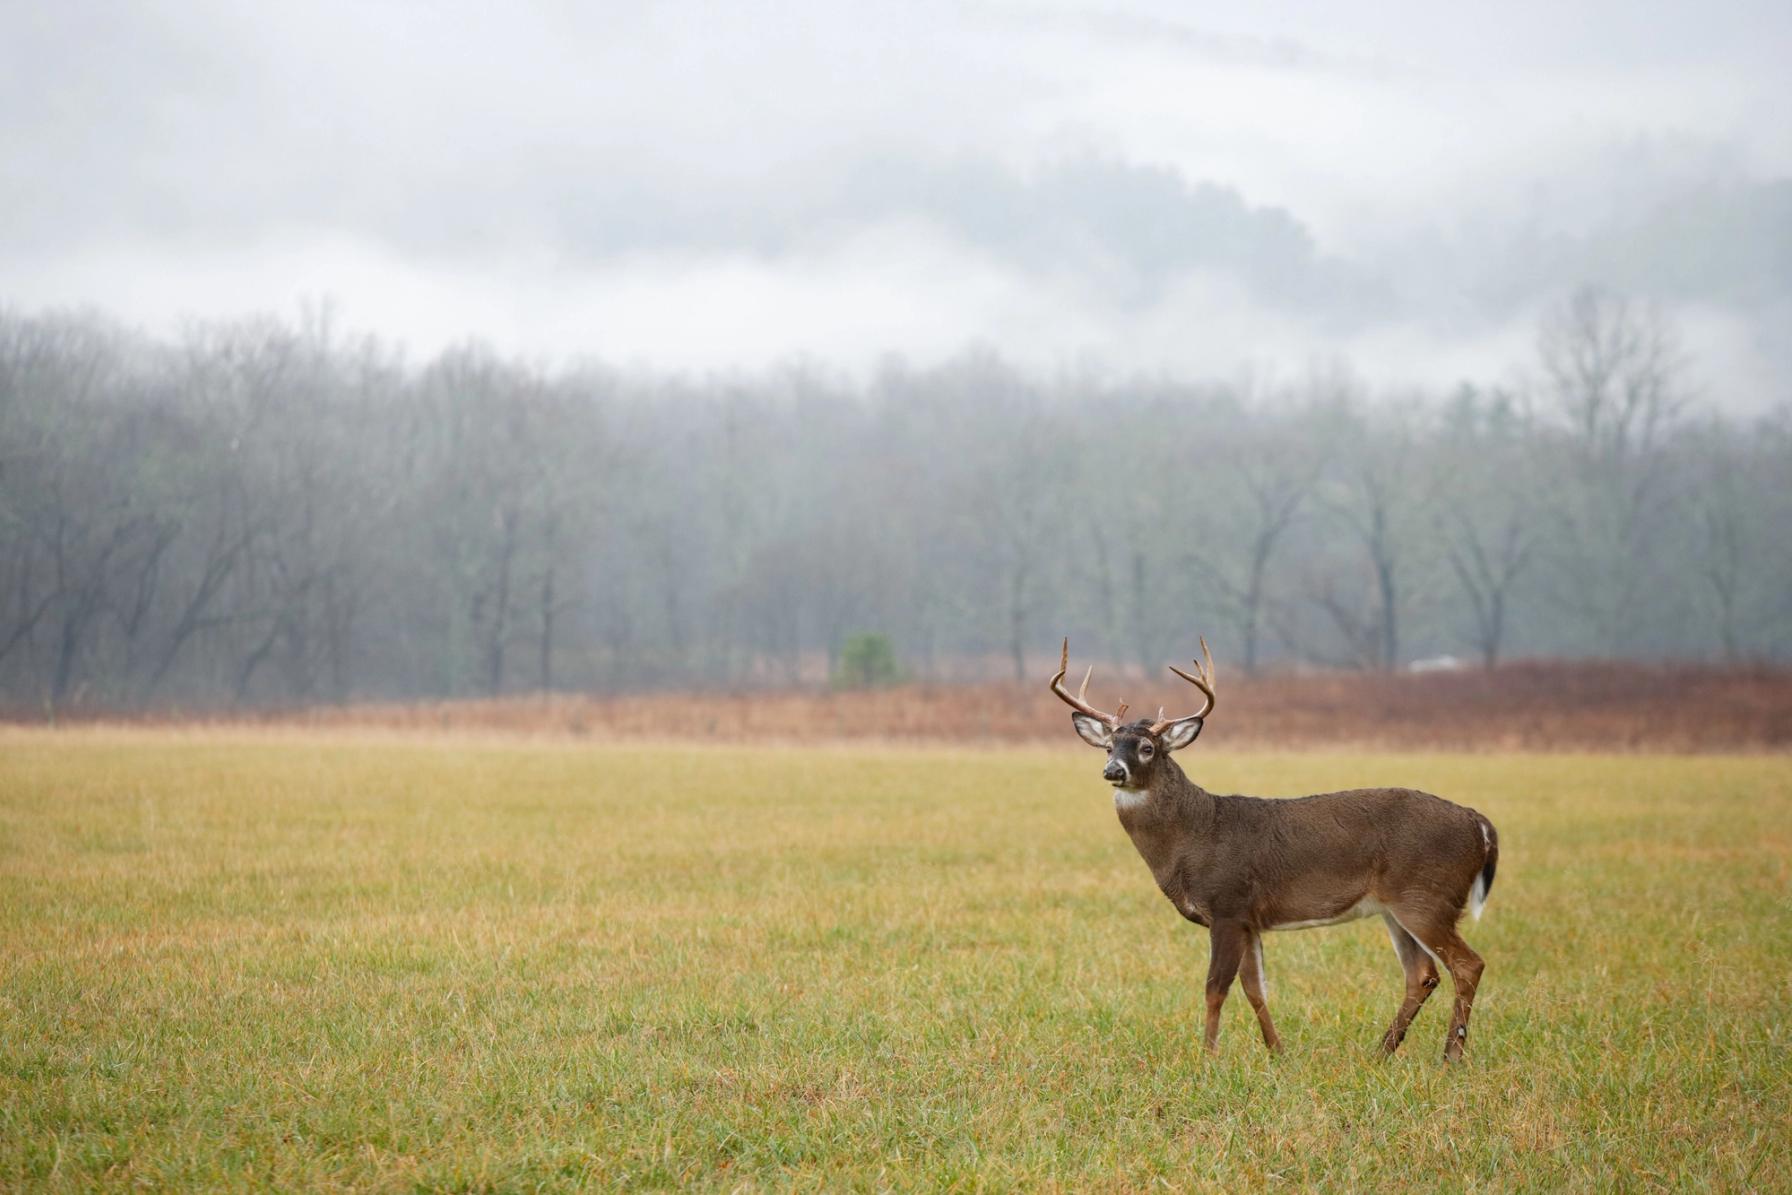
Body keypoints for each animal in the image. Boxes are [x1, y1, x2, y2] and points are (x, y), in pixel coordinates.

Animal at [1051, 638, 1498, 1062]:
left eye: (1146, 749)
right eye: (1108, 747)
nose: (1113, 770)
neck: (1194, 836)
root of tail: (1478, 823)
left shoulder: (1228, 905)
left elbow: (1215, 987)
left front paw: (1207, 1057)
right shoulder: (1249, 919)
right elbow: (1255, 988)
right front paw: (1277, 1052)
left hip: (1427, 895)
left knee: (1468, 964)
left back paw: (1450, 1055)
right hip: (1396, 906)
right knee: (1422, 973)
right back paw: (1381, 1052)